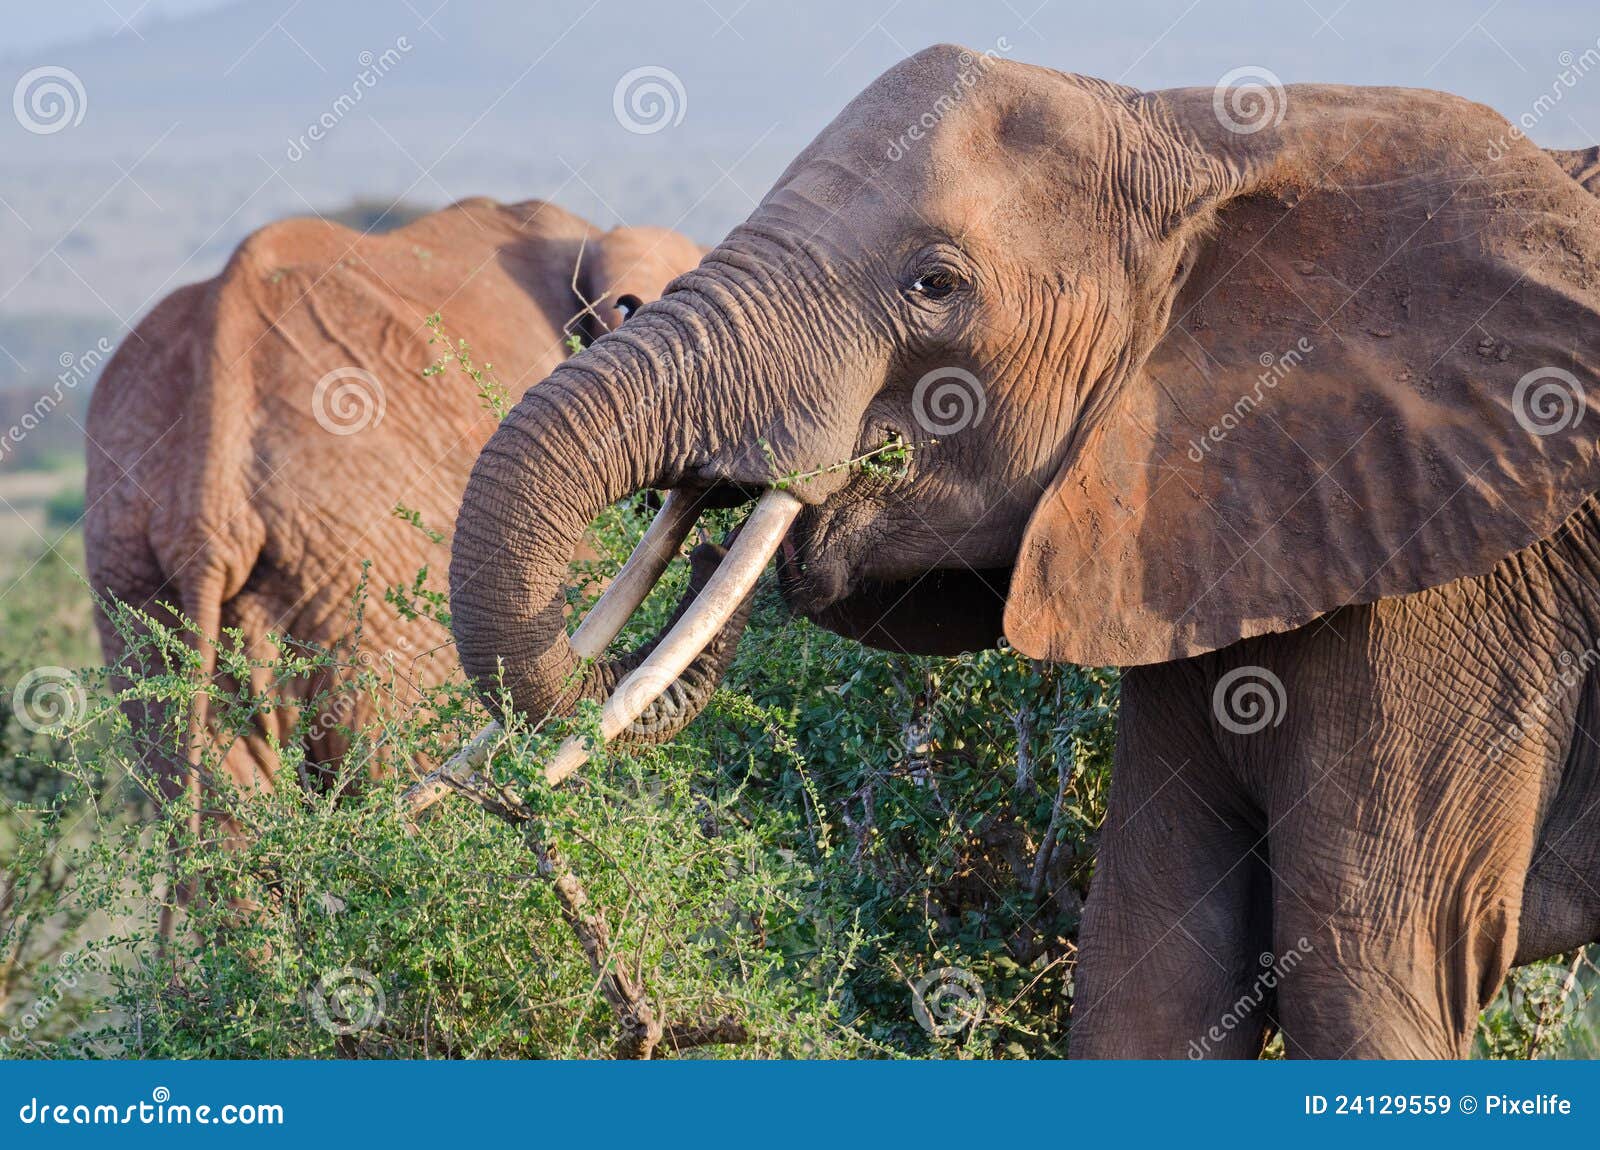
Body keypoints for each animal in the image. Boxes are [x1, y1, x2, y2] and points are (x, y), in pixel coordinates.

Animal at [445, 46, 1600, 1058]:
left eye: (934, 284)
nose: (706, 539)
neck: (1197, 140)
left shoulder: (1460, 601)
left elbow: (1364, 986)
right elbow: (1153, 974)